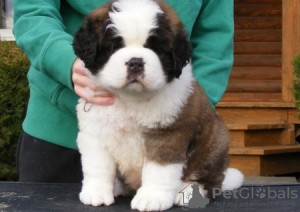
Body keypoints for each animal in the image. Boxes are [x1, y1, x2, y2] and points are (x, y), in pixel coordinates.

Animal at [72, 0, 244, 210]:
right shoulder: (95, 132)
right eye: (114, 46)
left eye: (155, 48)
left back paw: (189, 190)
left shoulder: (167, 134)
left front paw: (152, 197)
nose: (136, 62)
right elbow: (97, 165)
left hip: (215, 142)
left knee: (211, 180)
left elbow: (159, 170)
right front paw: (96, 192)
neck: (130, 99)